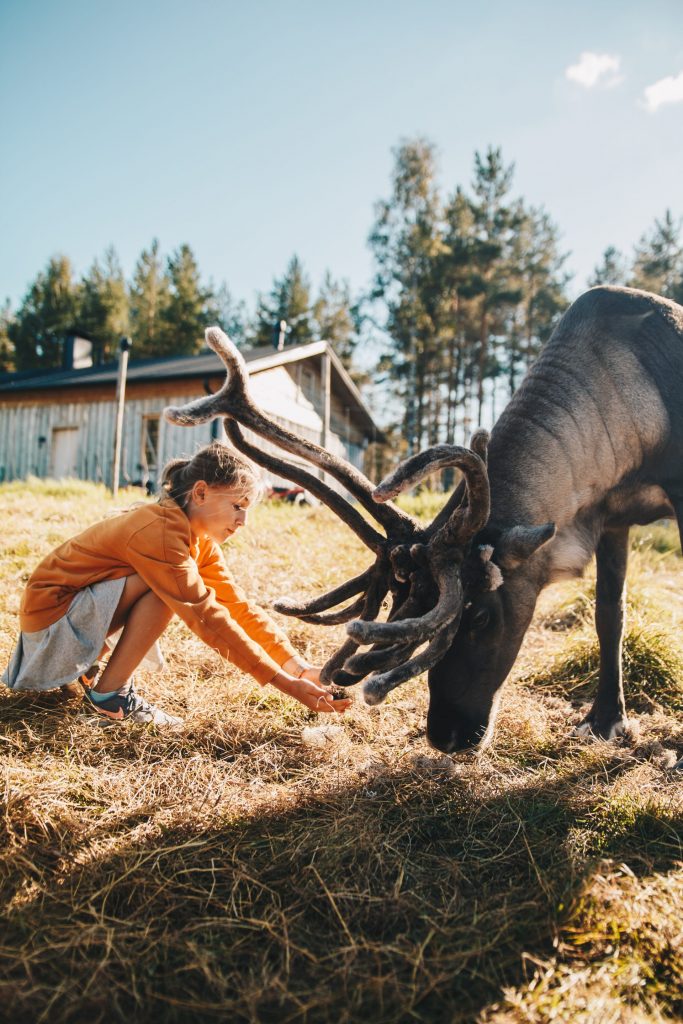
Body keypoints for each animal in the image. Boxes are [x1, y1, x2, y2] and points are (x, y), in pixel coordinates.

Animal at [164, 285, 683, 757]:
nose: (444, 737)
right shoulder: (610, 515)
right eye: (399, 611)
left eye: (481, 614)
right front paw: (605, 721)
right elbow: (608, 615)